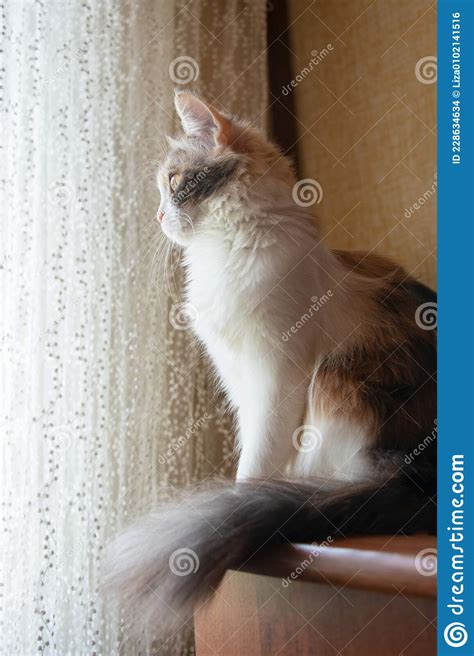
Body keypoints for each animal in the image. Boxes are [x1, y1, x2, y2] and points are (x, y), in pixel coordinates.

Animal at [104, 92, 436, 636]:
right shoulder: (239, 378)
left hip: (339, 386)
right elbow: (253, 449)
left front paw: (238, 500)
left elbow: (258, 456)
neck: (225, 251)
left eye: (173, 182)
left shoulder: (278, 373)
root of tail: (420, 481)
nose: (156, 217)